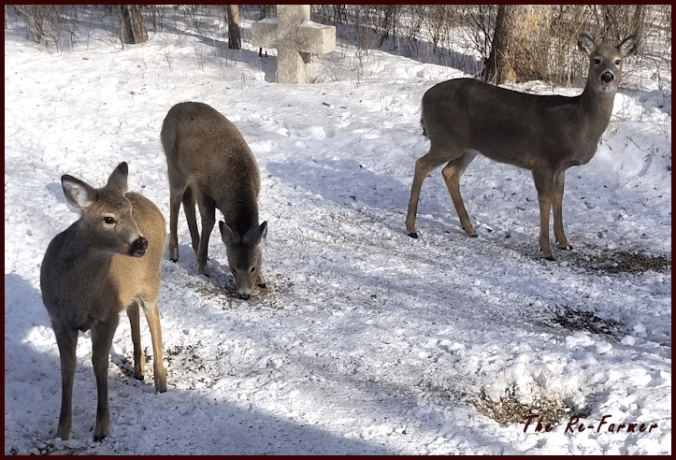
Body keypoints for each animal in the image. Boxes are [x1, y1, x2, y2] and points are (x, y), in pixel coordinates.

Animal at [40, 162, 167, 441]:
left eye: (129, 213)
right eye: (109, 219)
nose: (141, 242)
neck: (78, 296)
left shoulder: (106, 317)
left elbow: (99, 365)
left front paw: (101, 429)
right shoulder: (58, 318)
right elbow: (67, 367)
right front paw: (61, 431)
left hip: (151, 280)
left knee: (154, 317)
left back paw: (161, 381)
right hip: (128, 290)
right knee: (133, 310)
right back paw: (139, 369)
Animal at [161, 101, 267, 299]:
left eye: (253, 267)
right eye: (233, 268)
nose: (244, 294)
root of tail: (173, 109)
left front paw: (261, 279)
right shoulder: (203, 190)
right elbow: (209, 222)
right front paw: (202, 268)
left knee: (186, 202)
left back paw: (195, 248)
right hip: (174, 168)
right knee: (174, 202)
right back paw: (174, 253)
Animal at [405, 33, 637, 260]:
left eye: (618, 61)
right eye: (596, 59)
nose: (607, 76)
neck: (578, 121)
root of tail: (425, 98)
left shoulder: (560, 167)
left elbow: (559, 198)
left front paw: (564, 242)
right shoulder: (543, 161)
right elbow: (545, 199)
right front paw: (546, 249)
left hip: (468, 148)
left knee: (450, 172)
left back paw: (470, 229)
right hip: (446, 140)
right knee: (421, 164)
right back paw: (411, 228)